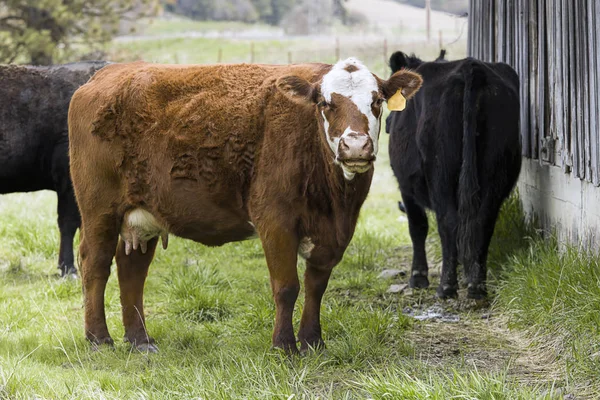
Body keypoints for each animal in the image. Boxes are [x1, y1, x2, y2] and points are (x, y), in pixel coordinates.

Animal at [69, 58, 422, 354]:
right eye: (325, 103)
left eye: (376, 102)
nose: (356, 146)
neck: (334, 201)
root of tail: (109, 73)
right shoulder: (275, 220)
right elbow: (286, 286)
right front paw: (284, 346)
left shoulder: (333, 233)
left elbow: (316, 286)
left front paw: (312, 342)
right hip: (99, 210)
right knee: (95, 264)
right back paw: (98, 338)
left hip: (143, 214)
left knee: (132, 269)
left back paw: (139, 340)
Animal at [390, 51, 520, 298]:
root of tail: (472, 68)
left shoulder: (405, 185)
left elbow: (417, 226)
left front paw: (418, 277)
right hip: (496, 169)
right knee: (483, 219)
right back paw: (477, 286)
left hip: (440, 173)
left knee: (448, 221)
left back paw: (446, 287)